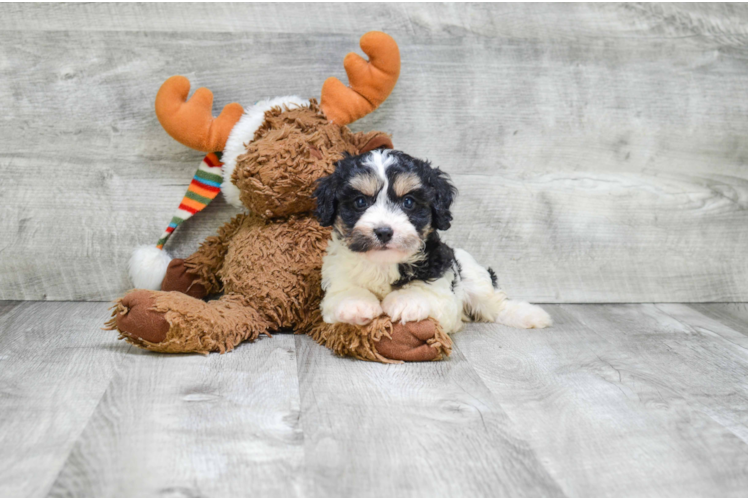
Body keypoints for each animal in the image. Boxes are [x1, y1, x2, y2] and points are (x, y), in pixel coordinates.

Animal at [310, 150, 548, 334]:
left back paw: (531, 315)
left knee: (495, 303)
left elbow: (425, 292)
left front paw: (405, 301)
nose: (384, 232)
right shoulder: (337, 277)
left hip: (474, 278)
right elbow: (344, 292)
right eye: (360, 202)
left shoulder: (443, 289)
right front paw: (356, 304)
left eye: (408, 202)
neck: (384, 263)